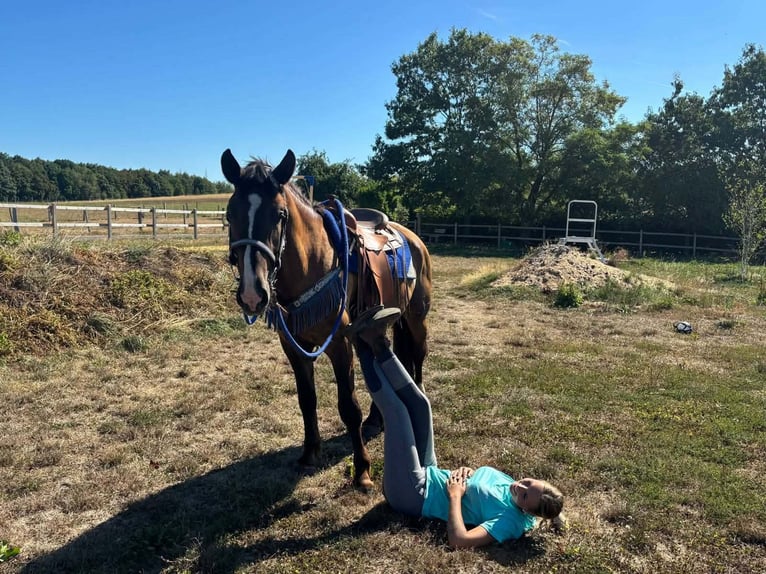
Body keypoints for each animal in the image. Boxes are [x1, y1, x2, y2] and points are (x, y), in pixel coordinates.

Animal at [221, 148, 432, 489]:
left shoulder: (339, 345)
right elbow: (307, 400)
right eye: (229, 215)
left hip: (416, 318)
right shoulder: (293, 346)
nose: (253, 294)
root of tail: (413, 238)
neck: (312, 263)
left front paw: (362, 470)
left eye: (280, 215)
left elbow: (348, 407)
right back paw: (376, 420)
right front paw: (309, 454)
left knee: (418, 356)